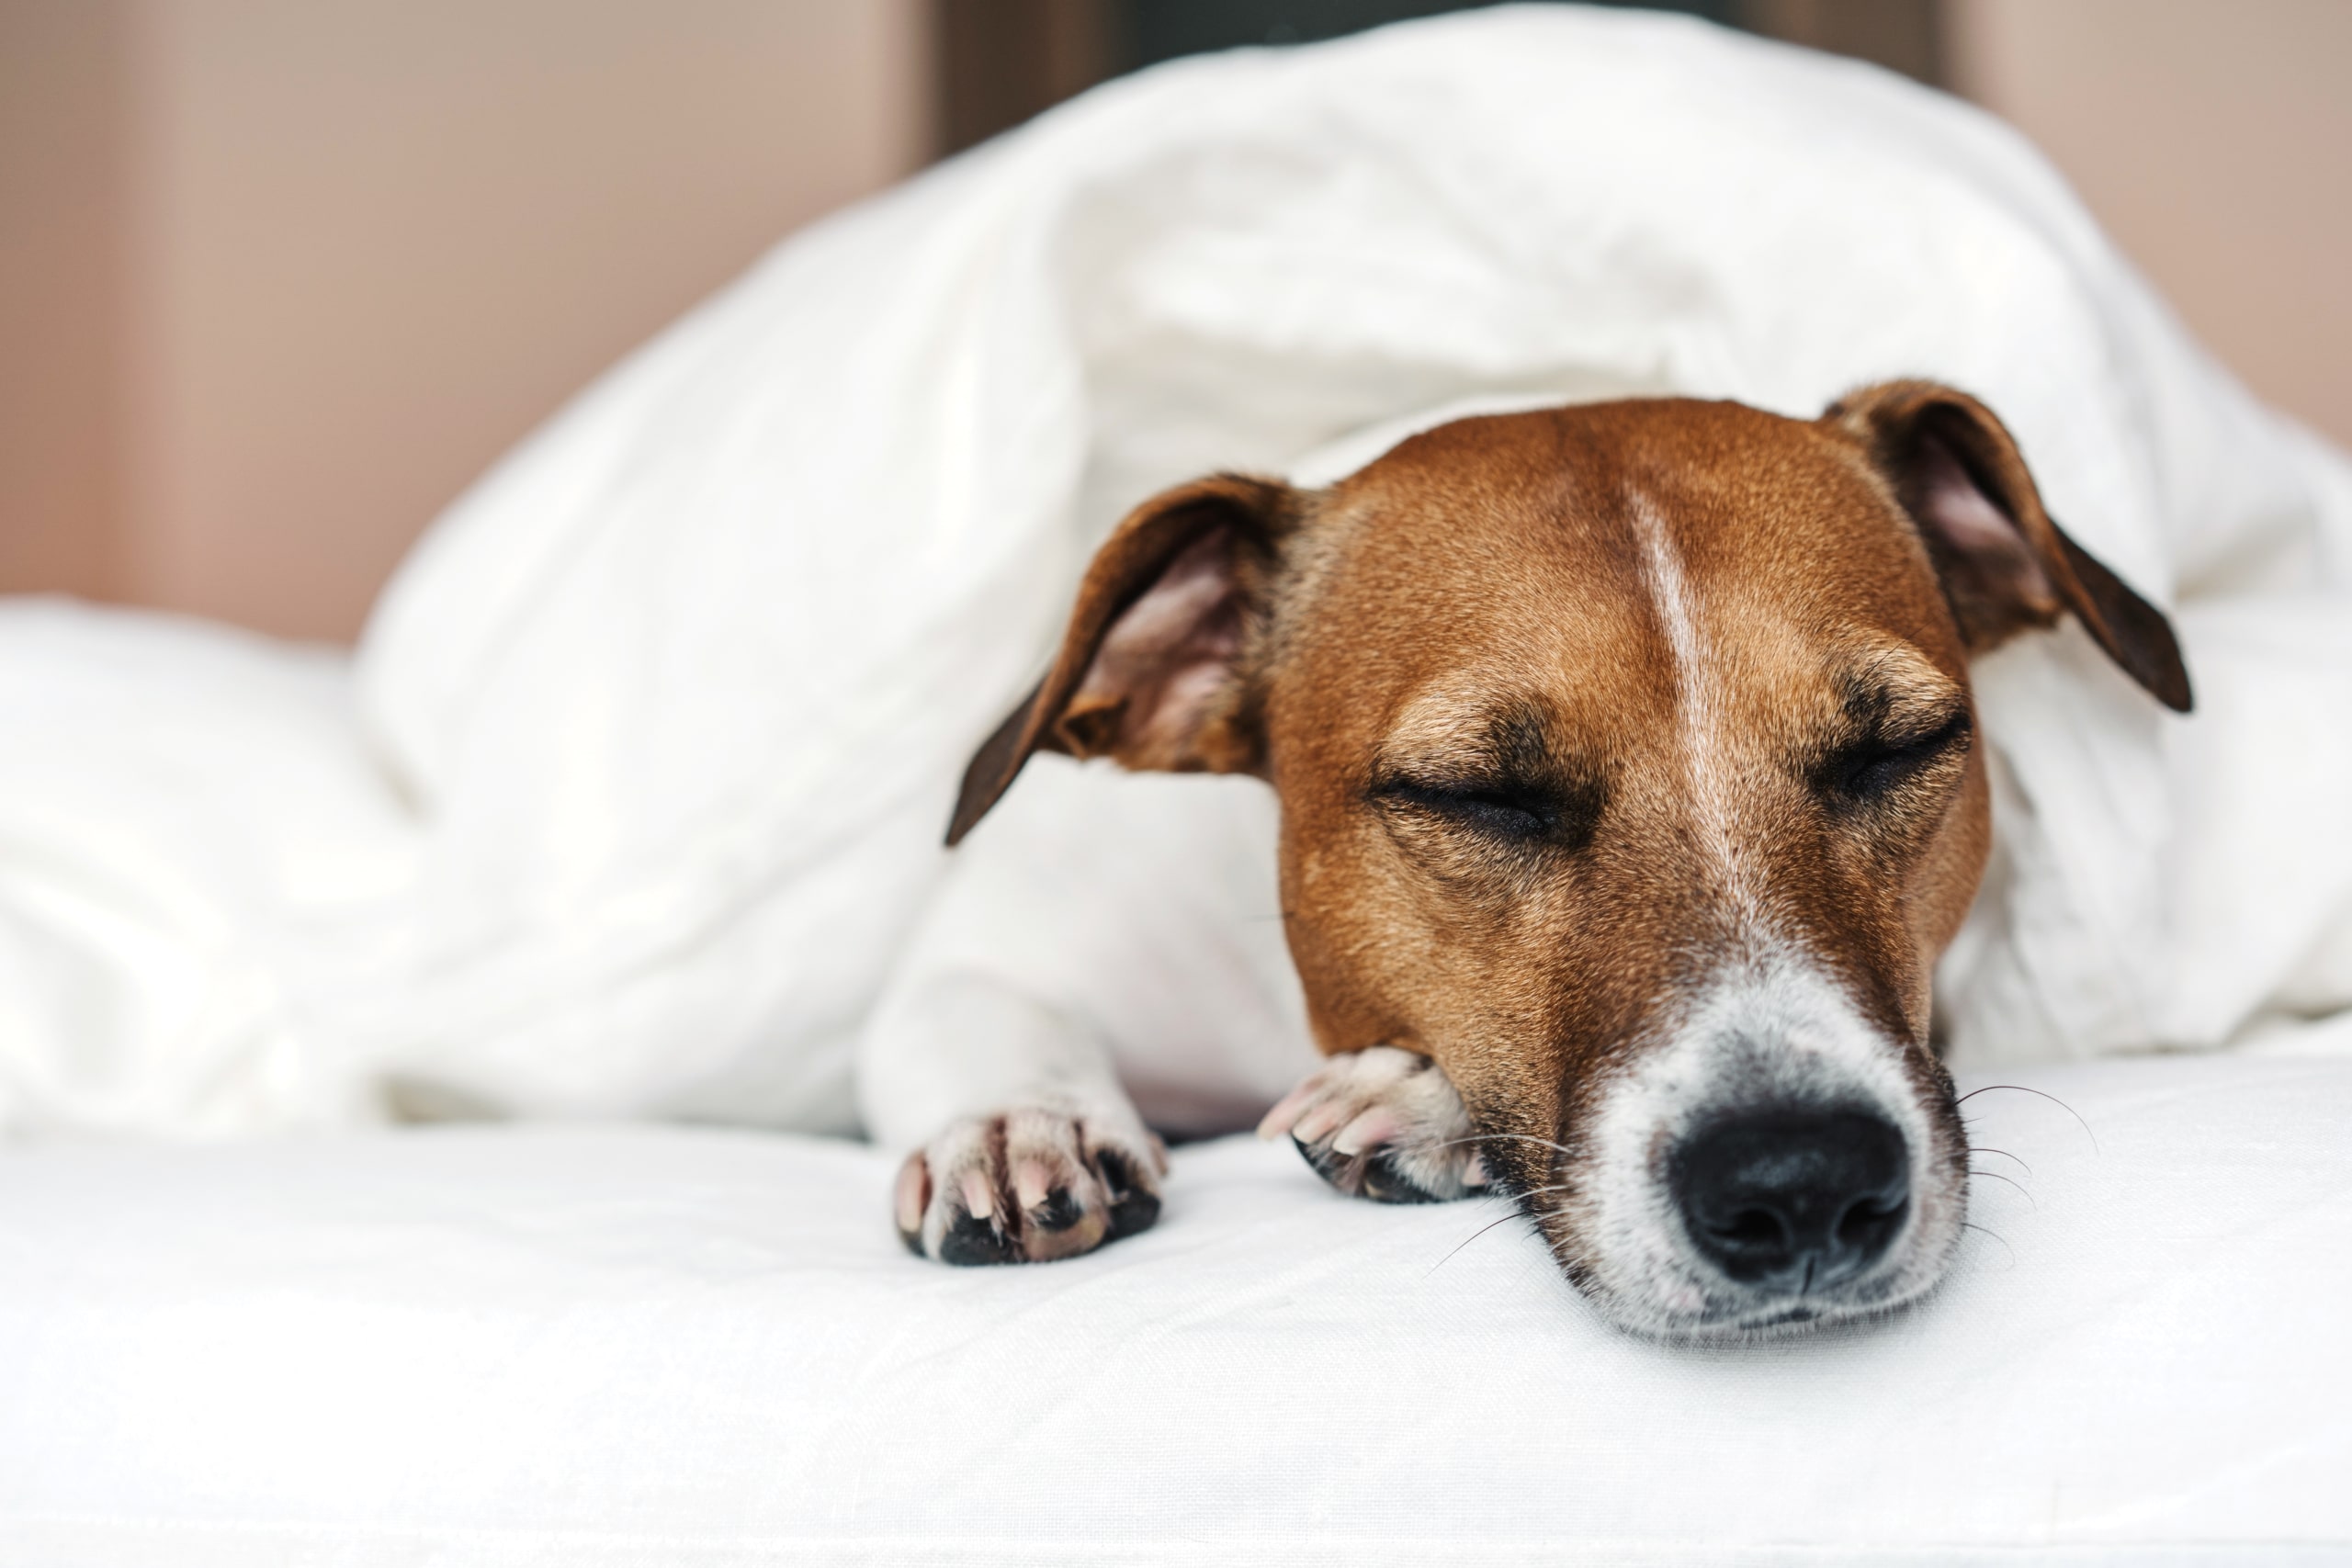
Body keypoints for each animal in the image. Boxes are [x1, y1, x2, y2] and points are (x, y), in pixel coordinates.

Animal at [865, 376, 2182, 1335]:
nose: (1800, 1179)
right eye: (1479, 795)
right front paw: (1014, 1127)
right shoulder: (994, 951)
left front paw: (1421, 1101)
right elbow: (979, 1007)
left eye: (1895, 749)